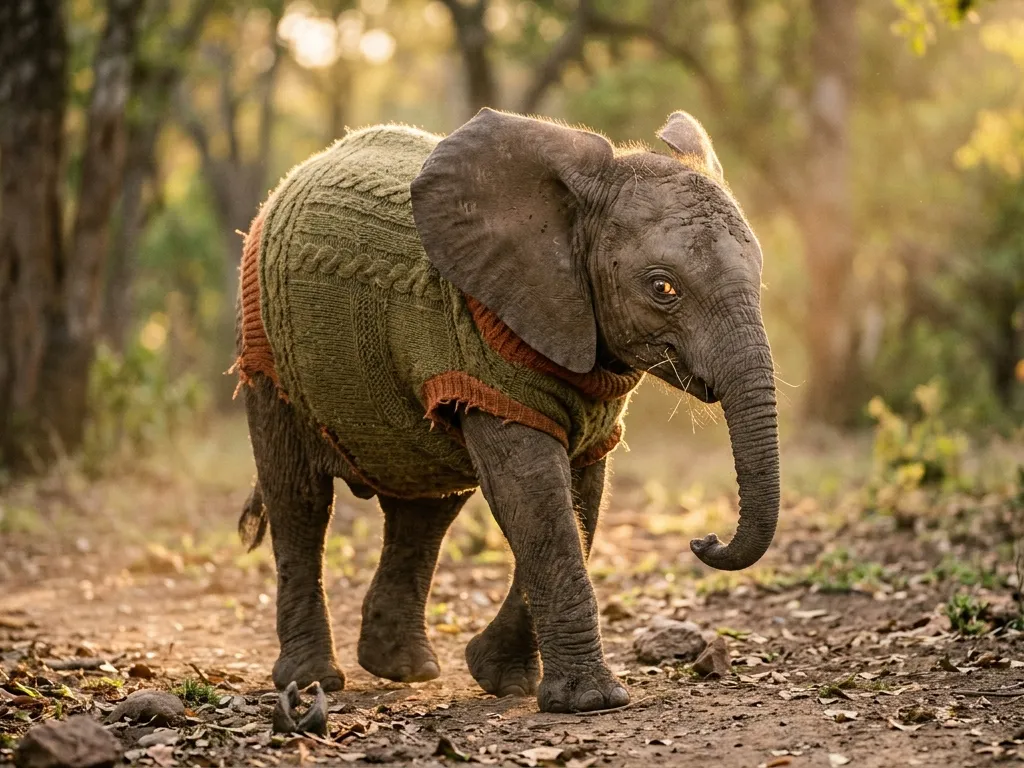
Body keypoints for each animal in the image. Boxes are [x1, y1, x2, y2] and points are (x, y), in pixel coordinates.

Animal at [232, 107, 780, 714]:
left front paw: (503, 679)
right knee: (299, 499)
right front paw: (590, 702)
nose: (703, 541)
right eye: (663, 288)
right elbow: (533, 494)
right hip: (268, 357)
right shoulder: (487, 356)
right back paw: (313, 681)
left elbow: (580, 499)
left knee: (427, 508)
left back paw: (402, 668)